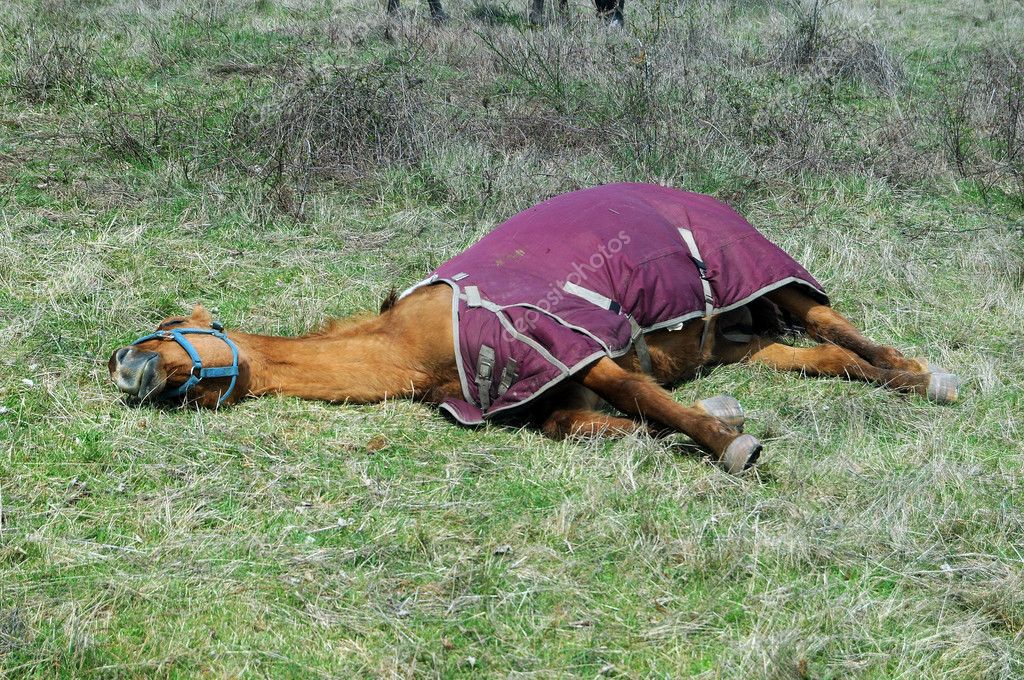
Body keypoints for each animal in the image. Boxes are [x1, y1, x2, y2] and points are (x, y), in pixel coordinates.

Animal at [108, 184, 958, 474]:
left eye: (163, 326)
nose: (122, 363)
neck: (420, 343)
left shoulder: (568, 348)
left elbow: (649, 401)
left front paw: (728, 442)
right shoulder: (542, 390)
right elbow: (588, 425)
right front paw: (691, 427)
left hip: (770, 278)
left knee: (839, 324)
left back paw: (928, 376)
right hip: (742, 341)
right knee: (829, 358)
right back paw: (900, 379)